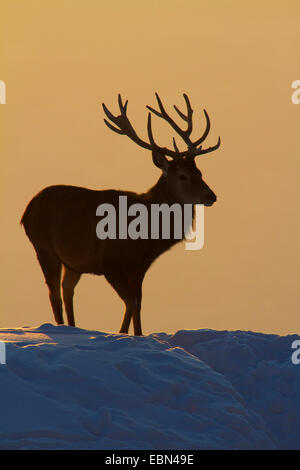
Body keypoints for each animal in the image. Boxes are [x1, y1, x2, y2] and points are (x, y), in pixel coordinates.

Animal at [19, 92, 219, 334]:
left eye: (200, 172)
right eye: (183, 176)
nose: (211, 196)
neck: (145, 239)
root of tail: (26, 211)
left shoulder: (139, 268)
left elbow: (139, 305)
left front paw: (138, 335)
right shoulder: (109, 261)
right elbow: (130, 303)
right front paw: (121, 334)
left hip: (73, 262)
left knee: (67, 290)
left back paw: (74, 327)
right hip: (43, 247)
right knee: (54, 293)